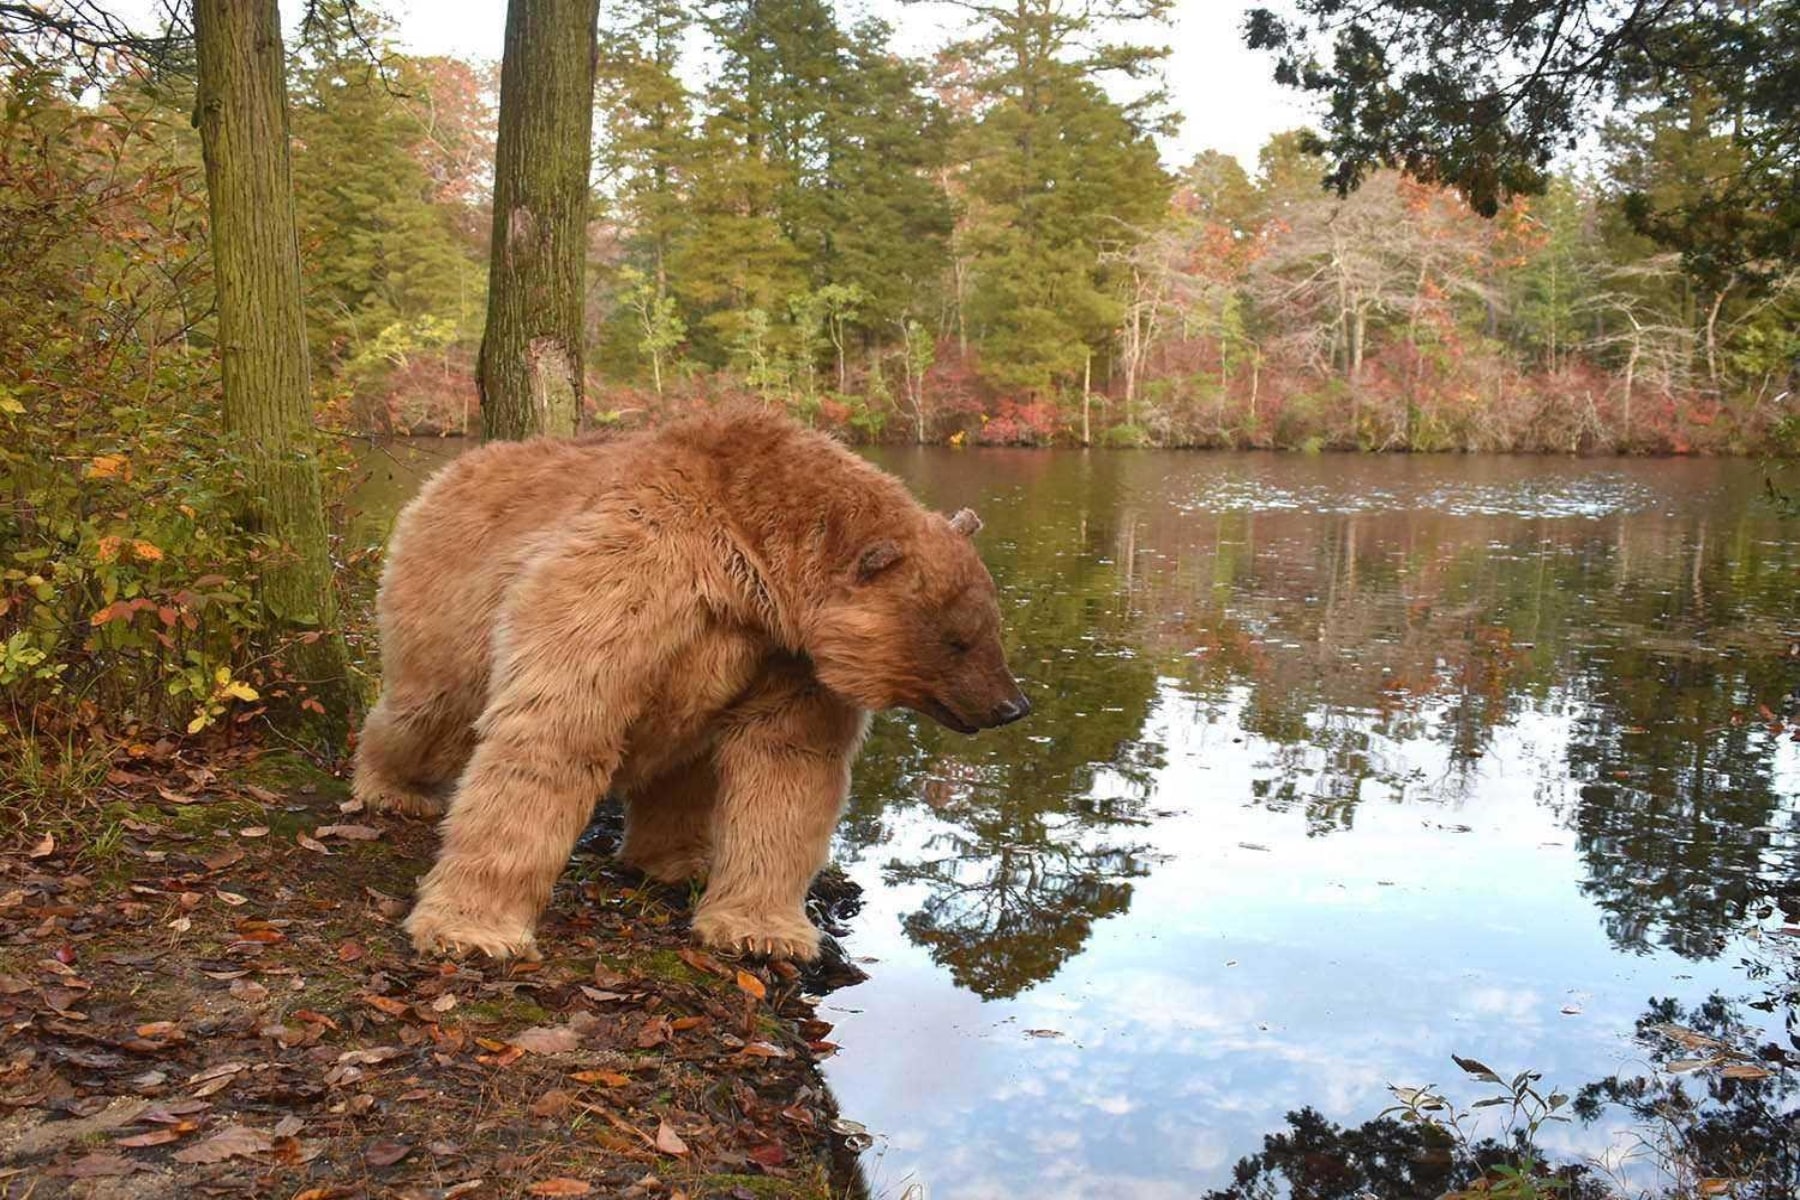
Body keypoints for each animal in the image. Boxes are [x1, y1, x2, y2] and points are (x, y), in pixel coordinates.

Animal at [351, 408, 1029, 964]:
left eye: (990, 625)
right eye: (957, 639)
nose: (1012, 704)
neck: (756, 578)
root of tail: (456, 466)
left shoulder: (789, 662)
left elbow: (787, 765)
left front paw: (763, 931)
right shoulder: (631, 575)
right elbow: (557, 725)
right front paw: (472, 930)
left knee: (685, 772)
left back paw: (677, 859)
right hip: (449, 594)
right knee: (431, 711)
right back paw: (395, 788)